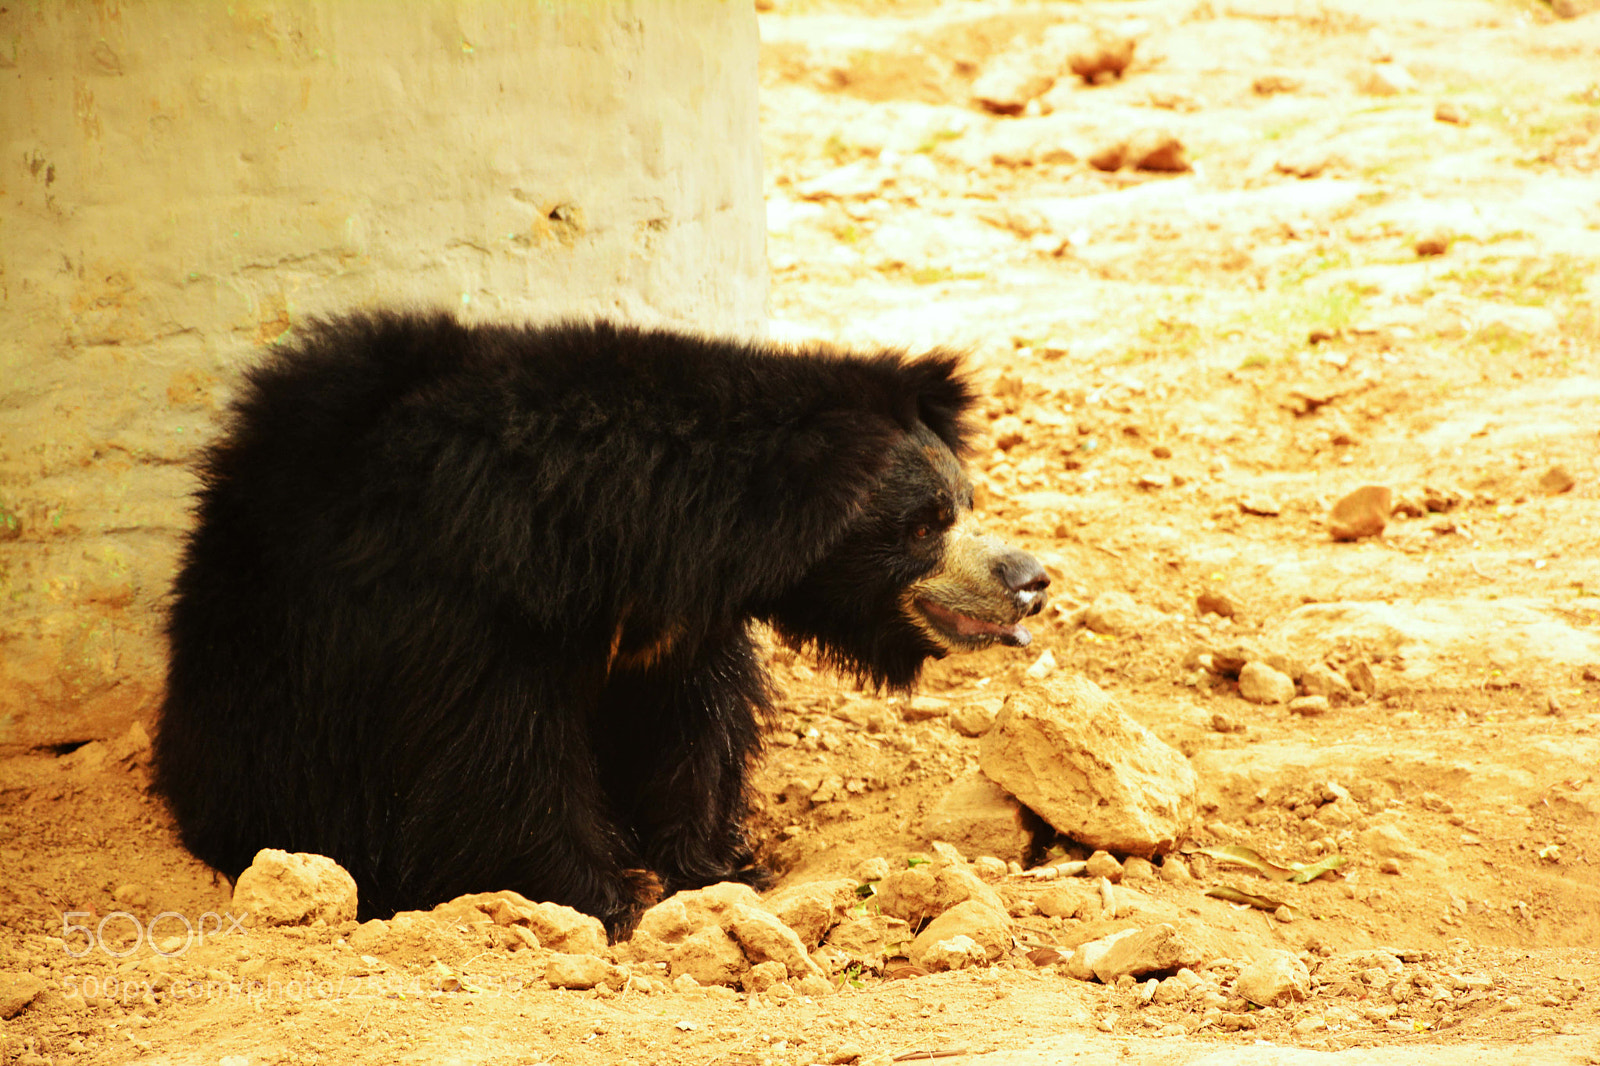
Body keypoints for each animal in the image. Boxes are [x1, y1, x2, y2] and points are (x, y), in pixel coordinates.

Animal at [153, 310, 1048, 935]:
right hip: (278, 666)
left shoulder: (678, 628)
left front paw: (713, 869)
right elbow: (500, 765)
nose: (1030, 582)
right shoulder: (468, 612)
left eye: (965, 502)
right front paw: (606, 902)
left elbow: (692, 735)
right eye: (926, 524)